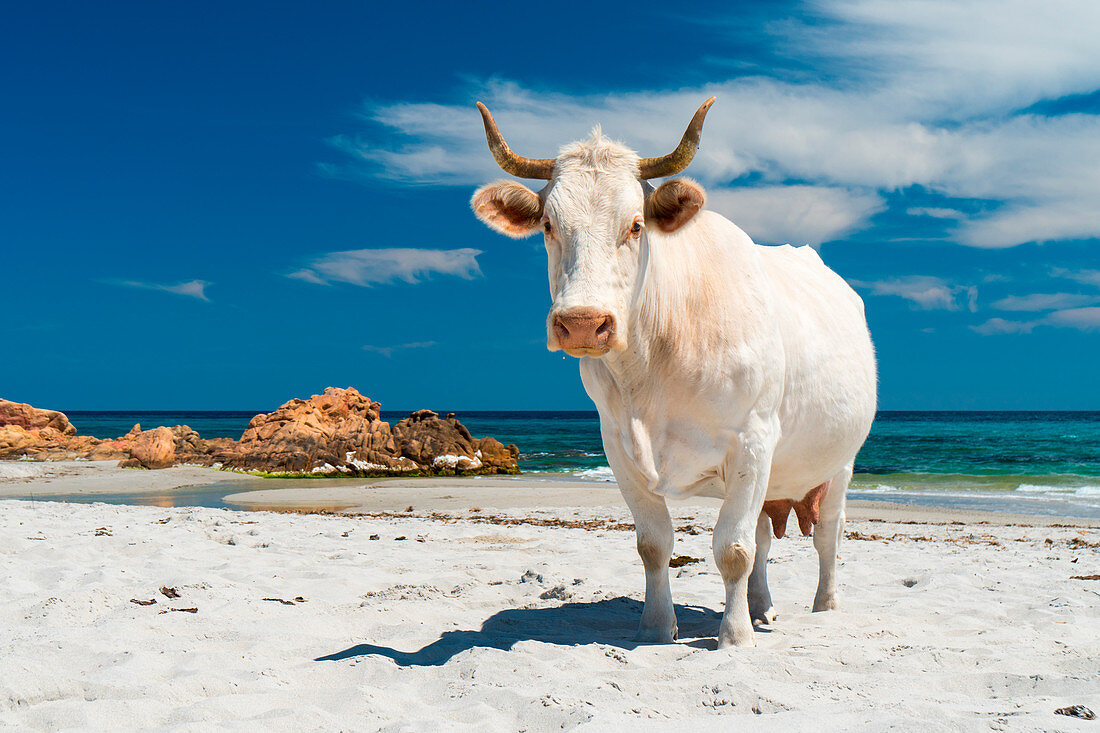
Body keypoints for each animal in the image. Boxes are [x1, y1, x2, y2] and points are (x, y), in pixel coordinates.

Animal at [470, 96, 875, 647]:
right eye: (549, 226)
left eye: (636, 224)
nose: (582, 323)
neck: (653, 368)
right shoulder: (619, 445)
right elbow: (656, 544)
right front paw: (657, 628)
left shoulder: (752, 438)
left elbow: (733, 549)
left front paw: (734, 637)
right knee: (765, 535)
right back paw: (761, 606)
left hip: (839, 461)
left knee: (829, 533)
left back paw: (824, 606)